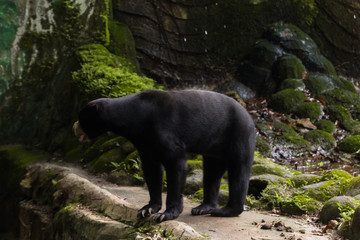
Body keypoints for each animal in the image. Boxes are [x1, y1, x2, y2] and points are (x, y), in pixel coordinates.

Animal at [73, 89, 255, 221]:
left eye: (81, 118)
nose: (74, 127)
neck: (137, 118)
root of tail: (249, 116)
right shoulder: (145, 142)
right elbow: (151, 169)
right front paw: (146, 209)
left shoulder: (164, 130)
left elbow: (176, 164)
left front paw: (165, 215)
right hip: (214, 147)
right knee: (211, 173)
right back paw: (202, 208)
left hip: (237, 134)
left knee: (239, 171)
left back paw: (225, 210)